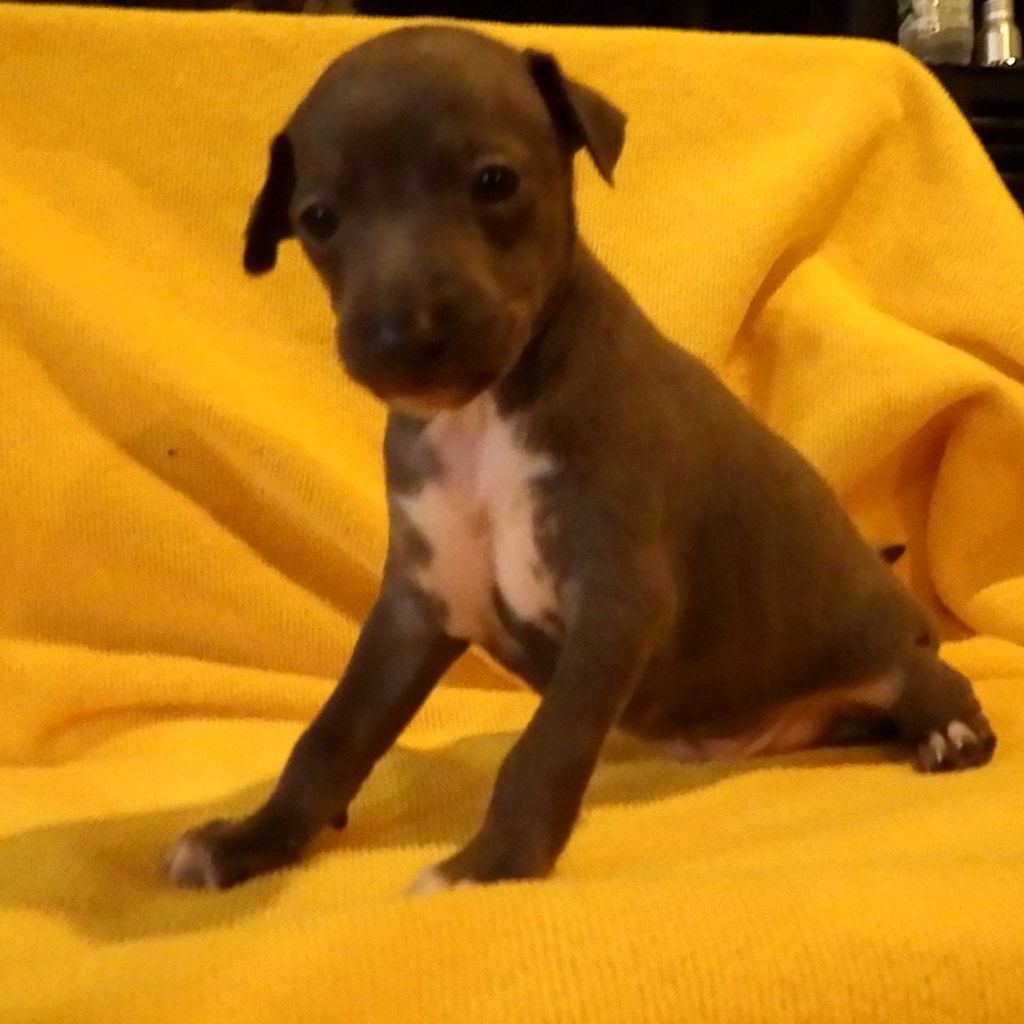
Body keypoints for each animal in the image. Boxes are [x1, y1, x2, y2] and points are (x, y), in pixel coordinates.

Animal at [166, 25, 996, 894]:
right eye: (319, 219)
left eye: (495, 182)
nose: (404, 335)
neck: (483, 418)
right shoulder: (417, 609)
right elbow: (330, 735)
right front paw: (252, 839)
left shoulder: (616, 600)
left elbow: (545, 748)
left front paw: (489, 867)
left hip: (883, 652)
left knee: (931, 682)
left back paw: (948, 733)